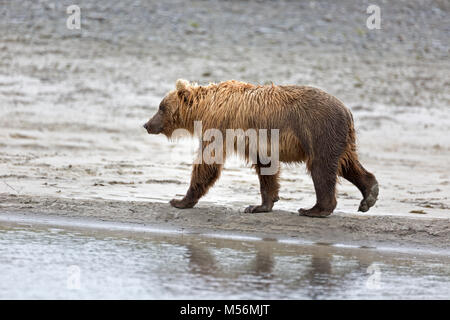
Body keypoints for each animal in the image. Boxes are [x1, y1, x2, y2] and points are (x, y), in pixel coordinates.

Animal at [143, 79, 376, 218]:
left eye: (160, 108)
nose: (147, 124)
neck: (204, 108)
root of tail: (347, 110)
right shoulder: (258, 142)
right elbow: (266, 168)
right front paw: (260, 205)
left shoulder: (219, 127)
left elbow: (208, 161)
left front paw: (180, 200)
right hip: (341, 138)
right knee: (347, 164)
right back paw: (369, 194)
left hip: (319, 131)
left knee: (322, 168)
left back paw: (314, 209)